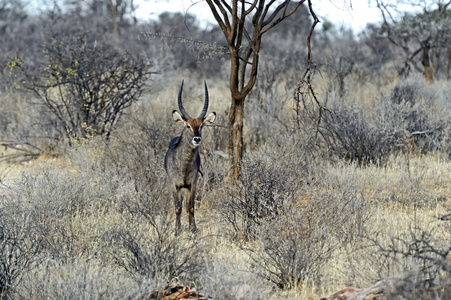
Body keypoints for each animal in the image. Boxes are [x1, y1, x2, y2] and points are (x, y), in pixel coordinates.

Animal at [164, 79, 217, 234]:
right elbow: (177, 207)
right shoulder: (174, 185)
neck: (184, 165)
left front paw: (193, 229)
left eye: (202, 125)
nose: (197, 139)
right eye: (188, 125)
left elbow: (191, 207)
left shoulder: (192, 184)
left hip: (186, 187)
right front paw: (177, 230)